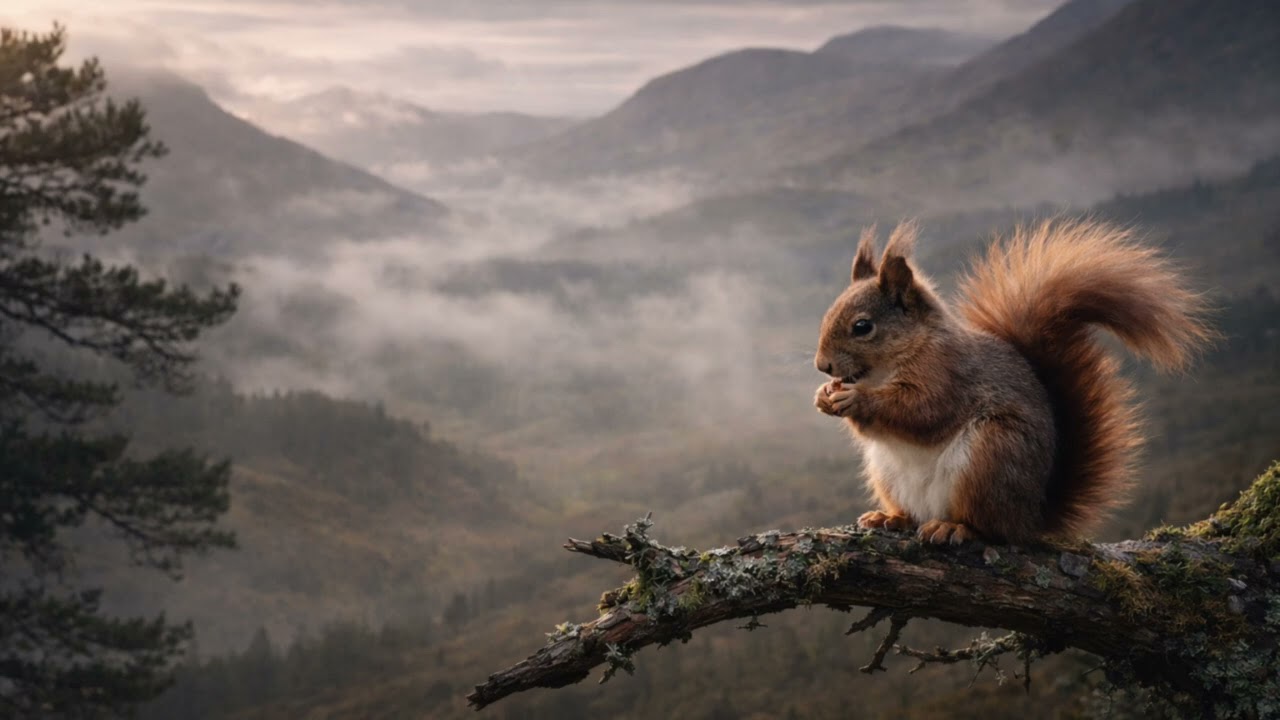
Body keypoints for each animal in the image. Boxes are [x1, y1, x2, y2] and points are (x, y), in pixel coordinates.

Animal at [813, 219, 1213, 545]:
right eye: (827, 313)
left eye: (863, 326)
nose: (822, 365)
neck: (887, 368)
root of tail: (1030, 516)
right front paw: (823, 396)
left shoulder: (948, 374)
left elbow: (923, 412)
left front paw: (856, 400)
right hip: (887, 473)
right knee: (914, 515)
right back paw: (891, 518)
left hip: (991, 456)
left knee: (990, 528)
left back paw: (954, 528)